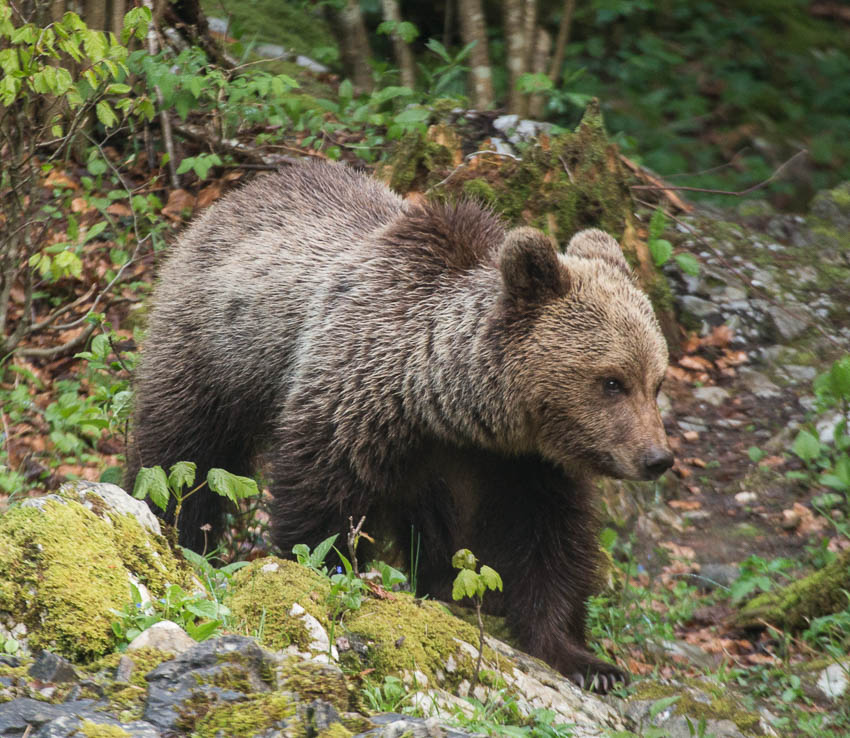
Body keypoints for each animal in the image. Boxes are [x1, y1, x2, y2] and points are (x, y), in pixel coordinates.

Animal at [127, 160, 668, 688]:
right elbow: (322, 512)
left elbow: (550, 543)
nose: (657, 458)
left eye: (656, 380)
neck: (443, 401)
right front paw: (324, 575)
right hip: (215, 349)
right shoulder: (351, 402)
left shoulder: (523, 463)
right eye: (613, 381)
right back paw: (179, 533)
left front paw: (587, 662)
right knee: (182, 454)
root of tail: (234, 196)